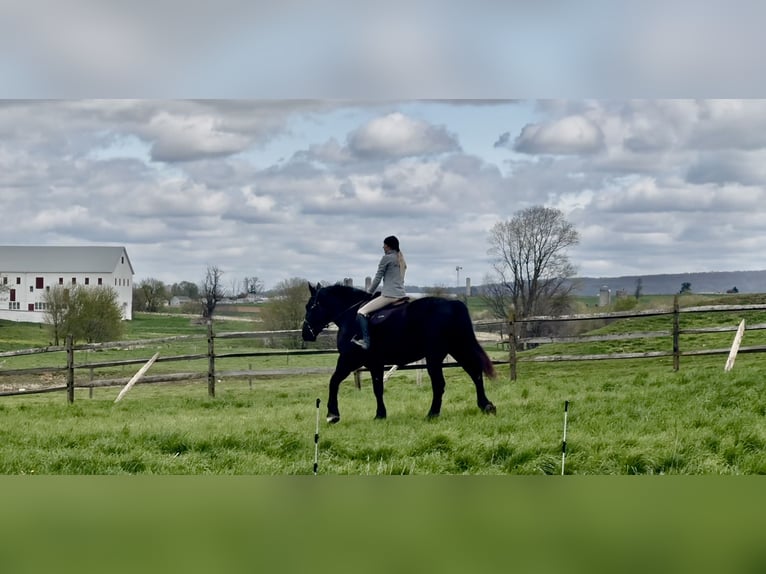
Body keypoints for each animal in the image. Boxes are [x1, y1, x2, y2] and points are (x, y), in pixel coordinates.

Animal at [302, 283, 497, 423]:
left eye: (309, 306)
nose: (305, 333)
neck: (350, 317)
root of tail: (454, 304)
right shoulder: (375, 364)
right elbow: (378, 389)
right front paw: (380, 415)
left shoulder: (348, 359)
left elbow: (333, 382)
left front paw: (332, 415)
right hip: (457, 349)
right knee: (475, 373)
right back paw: (486, 406)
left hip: (435, 356)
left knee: (440, 384)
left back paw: (432, 414)